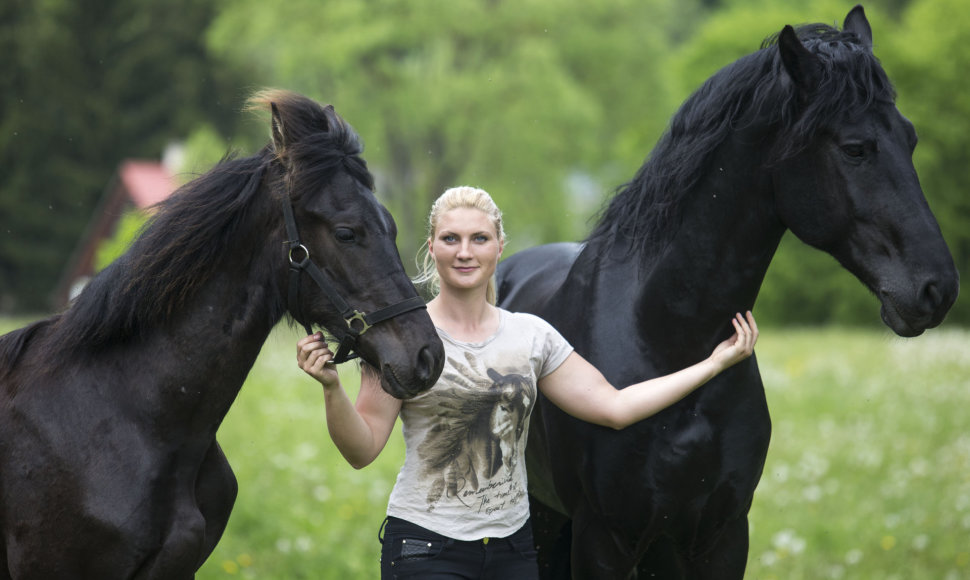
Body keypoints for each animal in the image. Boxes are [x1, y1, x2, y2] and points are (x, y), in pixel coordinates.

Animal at [496, 6, 956, 576]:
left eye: (910, 139)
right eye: (855, 148)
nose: (937, 288)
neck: (665, 337)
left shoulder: (721, 536)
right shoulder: (603, 539)